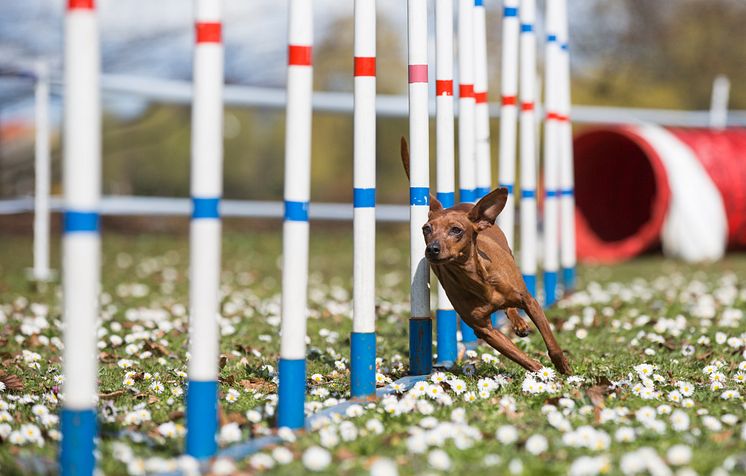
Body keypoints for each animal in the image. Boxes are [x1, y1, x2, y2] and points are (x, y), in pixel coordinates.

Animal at [402, 138, 568, 376]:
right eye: (426, 229)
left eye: (456, 230)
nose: (432, 249)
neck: (477, 278)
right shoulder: (483, 329)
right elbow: (520, 357)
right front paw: (541, 373)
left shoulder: (530, 301)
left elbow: (550, 341)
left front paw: (563, 367)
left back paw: (519, 322)